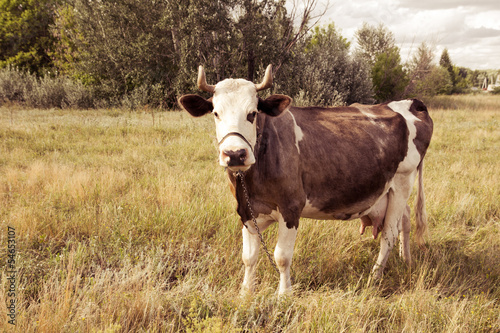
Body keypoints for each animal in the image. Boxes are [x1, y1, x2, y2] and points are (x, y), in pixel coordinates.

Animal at [180, 65, 434, 294]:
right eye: (216, 113)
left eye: (252, 113)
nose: (234, 154)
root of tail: (411, 103)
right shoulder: (245, 210)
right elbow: (248, 257)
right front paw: (246, 293)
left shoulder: (291, 207)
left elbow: (281, 257)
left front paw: (284, 294)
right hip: (389, 192)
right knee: (405, 220)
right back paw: (406, 260)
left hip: (403, 181)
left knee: (389, 235)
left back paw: (375, 277)